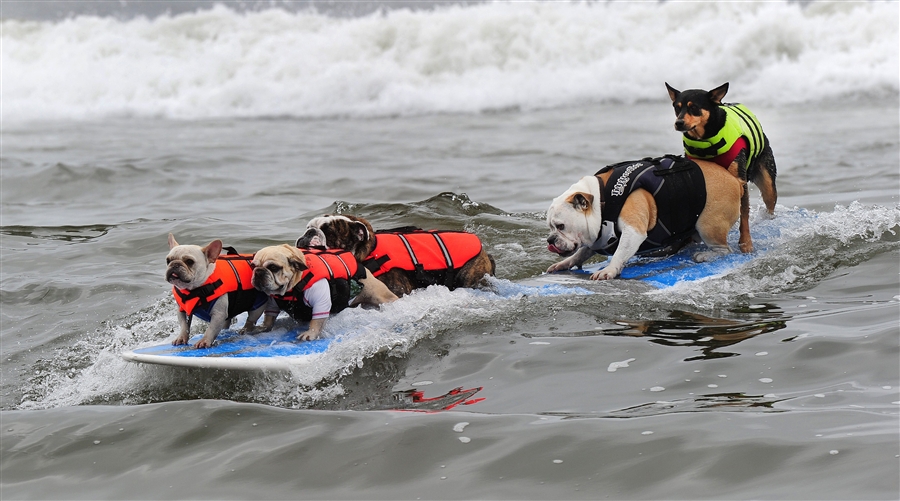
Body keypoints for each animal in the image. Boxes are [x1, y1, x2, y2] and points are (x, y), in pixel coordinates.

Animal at [296, 215, 496, 296]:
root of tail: (485, 252)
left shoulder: (398, 289)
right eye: (308, 227)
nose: (309, 232)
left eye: (328, 232)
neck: (369, 252)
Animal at [544, 154, 740, 280]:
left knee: (725, 250)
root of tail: (734, 179)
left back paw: (705, 255)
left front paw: (609, 270)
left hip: (708, 226)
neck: (602, 199)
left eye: (560, 226)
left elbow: (619, 252)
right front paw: (566, 263)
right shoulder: (598, 236)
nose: (550, 239)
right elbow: (582, 252)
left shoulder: (633, 231)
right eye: (550, 228)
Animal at [664, 84, 776, 254]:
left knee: (770, 200)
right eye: (677, 107)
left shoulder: (740, 179)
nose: (679, 123)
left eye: (694, 107)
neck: (705, 141)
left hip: (767, 177)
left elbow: (744, 214)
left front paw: (746, 243)